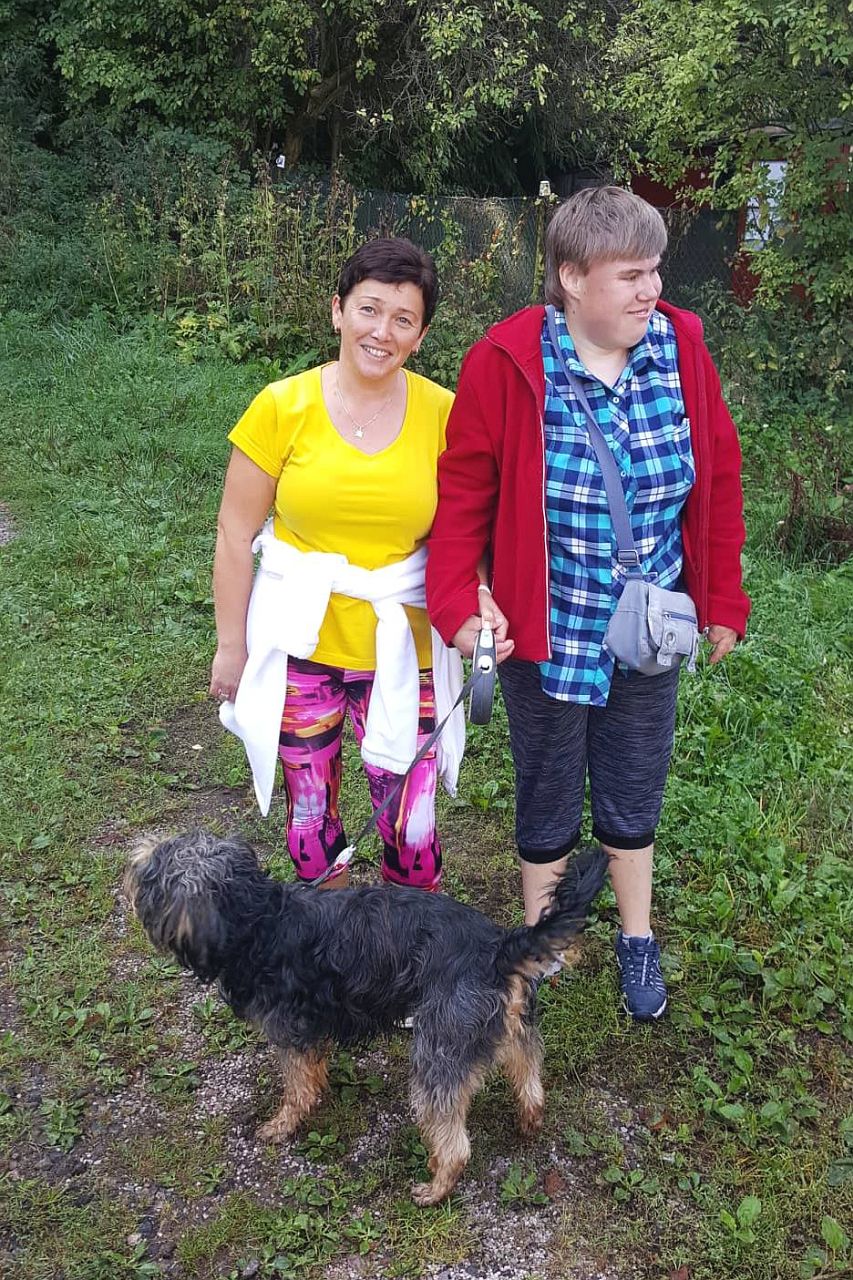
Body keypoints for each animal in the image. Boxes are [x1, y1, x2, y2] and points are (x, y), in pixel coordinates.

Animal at [125, 830, 607, 1204]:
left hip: (437, 1052)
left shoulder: (291, 1034)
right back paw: (528, 1122)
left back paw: (435, 1188)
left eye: (154, 876)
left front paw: (281, 1127)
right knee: (529, 1078)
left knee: (454, 1143)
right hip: (512, 1031)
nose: (133, 863)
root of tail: (497, 950)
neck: (260, 919)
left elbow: (297, 1089)